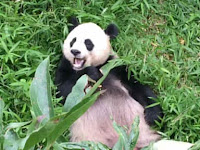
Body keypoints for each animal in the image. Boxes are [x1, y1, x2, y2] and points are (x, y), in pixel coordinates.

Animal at [54, 17, 162, 149]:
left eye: (88, 43)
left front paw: (153, 116)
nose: (75, 51)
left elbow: (138, 86)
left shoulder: (114, 67)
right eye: (73, 41)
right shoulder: (66, 66)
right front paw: (90, 73)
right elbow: (63, 91)